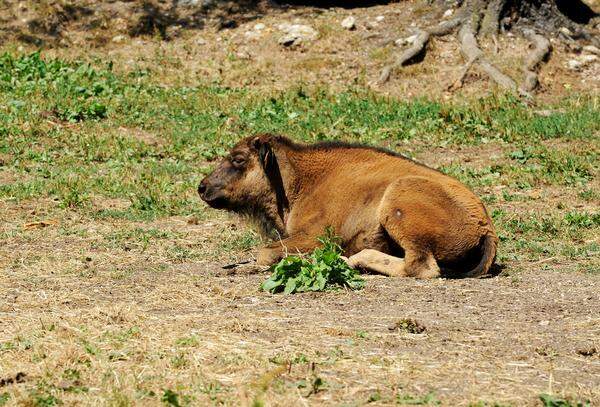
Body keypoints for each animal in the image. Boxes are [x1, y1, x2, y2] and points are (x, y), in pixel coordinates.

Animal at [198, 135, 496, 278]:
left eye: (238, 159)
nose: (202, 187)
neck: (299, 179)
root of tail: (485, 225)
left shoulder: (313, 237)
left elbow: (265, 253)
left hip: (397, 202)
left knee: (420, 266)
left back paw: (350, 260)